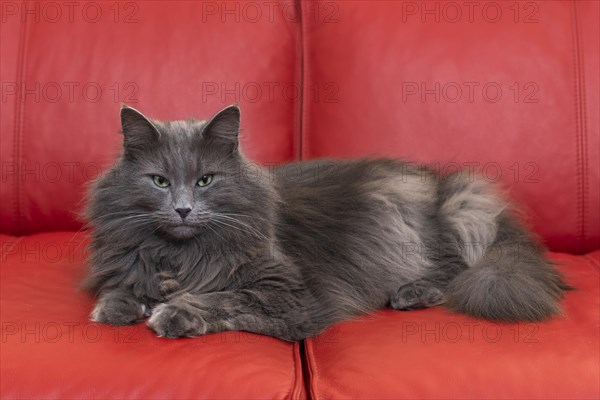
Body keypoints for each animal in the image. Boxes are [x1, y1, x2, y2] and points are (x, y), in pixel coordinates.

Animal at [83, 104, 568, 340]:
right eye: (160, 181)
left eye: (205, 180)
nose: (183, 209)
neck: (182, 255)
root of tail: (443, 184)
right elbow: (125, 285)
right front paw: (119, 305)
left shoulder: (290, 296)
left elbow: (224, 299)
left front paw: (174, 312)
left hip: (426, 225)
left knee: (456, 269)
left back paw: (410, 293)